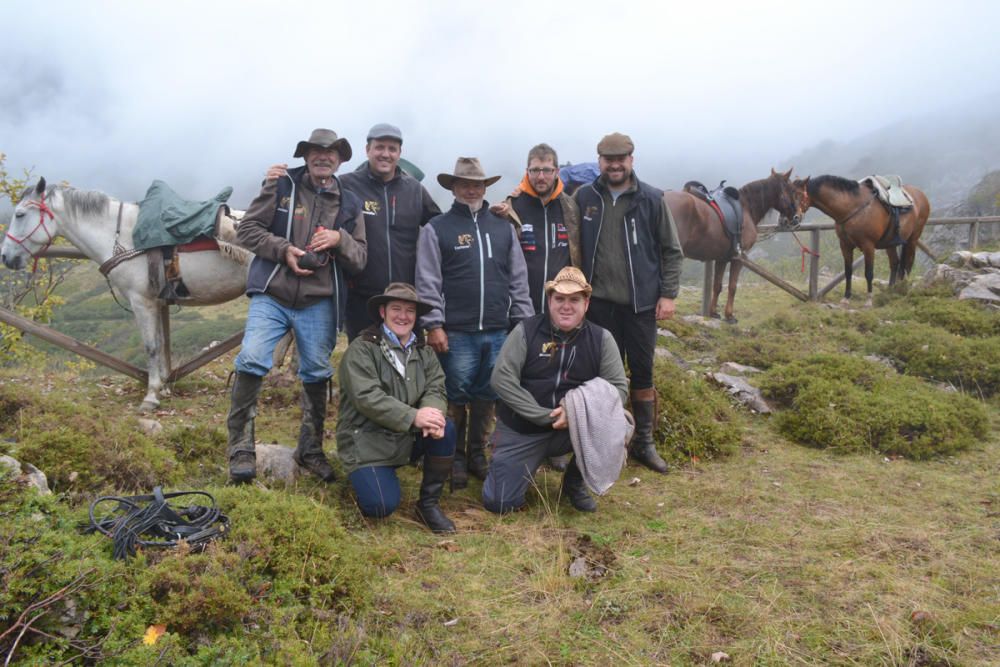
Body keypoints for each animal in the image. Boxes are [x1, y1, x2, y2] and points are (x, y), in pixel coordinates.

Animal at [0, 177, 250, 412]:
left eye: (20, 214)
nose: (5, 256)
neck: (120, 236)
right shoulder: (156, 302)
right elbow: (160, 343)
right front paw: (162, 387)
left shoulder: (141, 302)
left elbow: (150, 347)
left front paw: (151, 396)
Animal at [668, 167, 800, 324]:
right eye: (793, 190)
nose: (796, 218)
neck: (746, 207)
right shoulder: (738, 258)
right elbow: (732, 286)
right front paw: (729, 315)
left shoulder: (722, 258)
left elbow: (717, 286)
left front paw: (713, 313)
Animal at [792, 175, 932, 306]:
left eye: (799, 194)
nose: (793, 219)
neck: (852, 207)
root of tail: (921, 195)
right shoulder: (845, 245)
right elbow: (848, 271)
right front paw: (846, 298)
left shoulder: (868, 246)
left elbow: (869, 273)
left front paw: (868, 300)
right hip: (890, 243)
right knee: (894, 263)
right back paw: (890, 291)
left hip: (913, 240)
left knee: (908, 263)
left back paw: (903, 289)